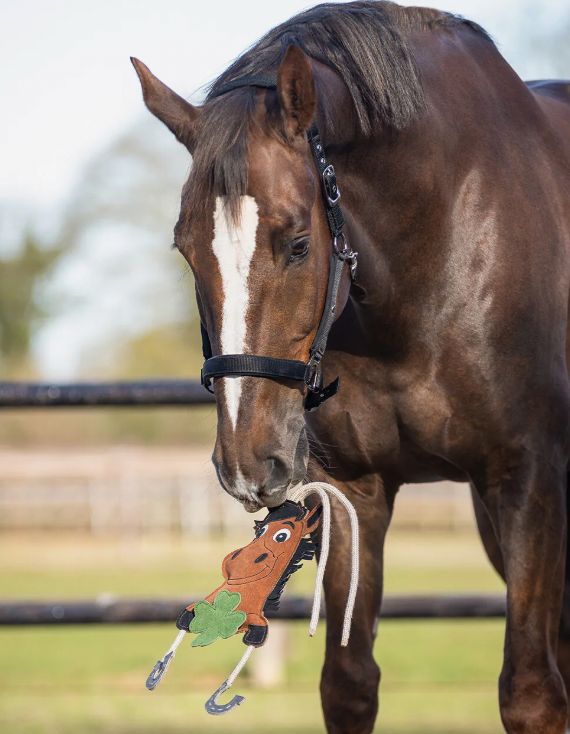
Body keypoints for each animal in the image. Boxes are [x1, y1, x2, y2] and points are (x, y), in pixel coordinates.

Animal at [131, 2, 570, 732]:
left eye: (297, 243)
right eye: (186, 248)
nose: (248, 464)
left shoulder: (528, 476)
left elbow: (532, 693)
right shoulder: (354, 491)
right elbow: (349, 681)